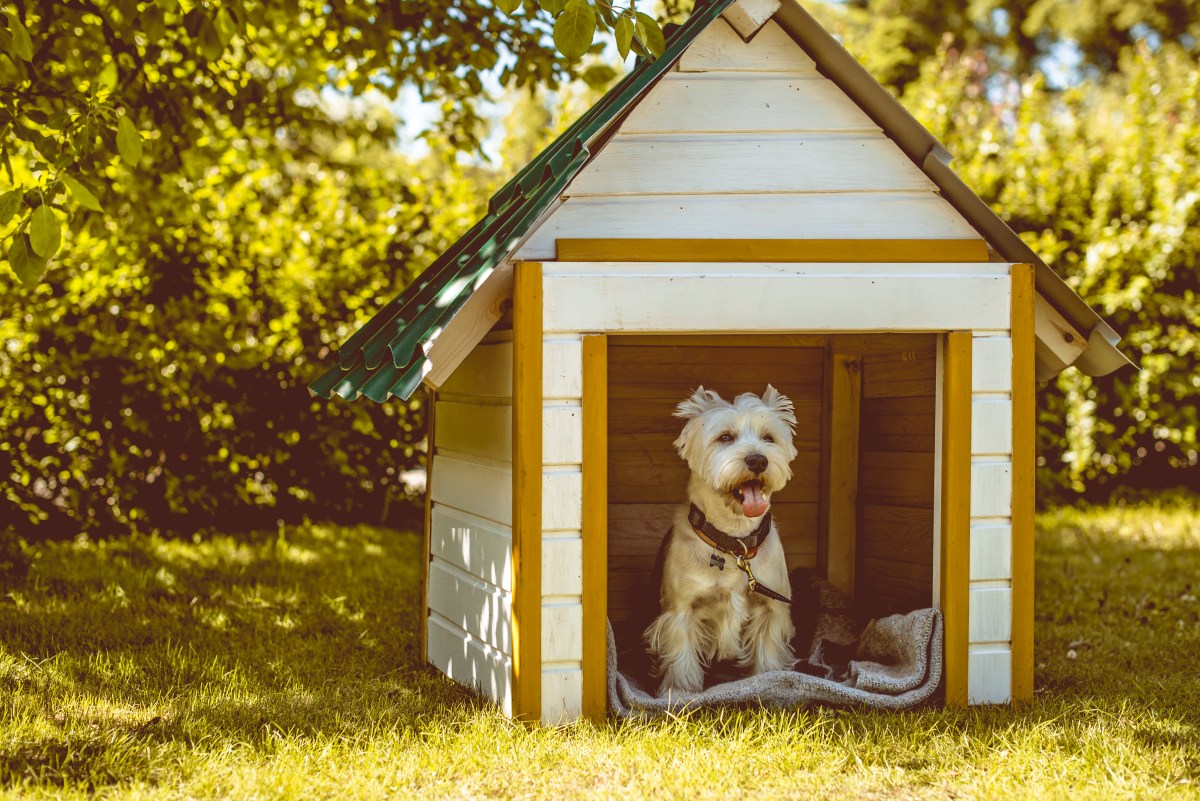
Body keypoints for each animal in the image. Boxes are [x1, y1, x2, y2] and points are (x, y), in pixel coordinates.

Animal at [643, 383, 801, 695]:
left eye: (769, 438)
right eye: (725, 437)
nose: (757, 459)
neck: (734, 543)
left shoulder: (772, 608)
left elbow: (767, 653)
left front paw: (770, 683)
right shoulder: (681, 610)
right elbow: (681, 656)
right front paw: (679, 692)